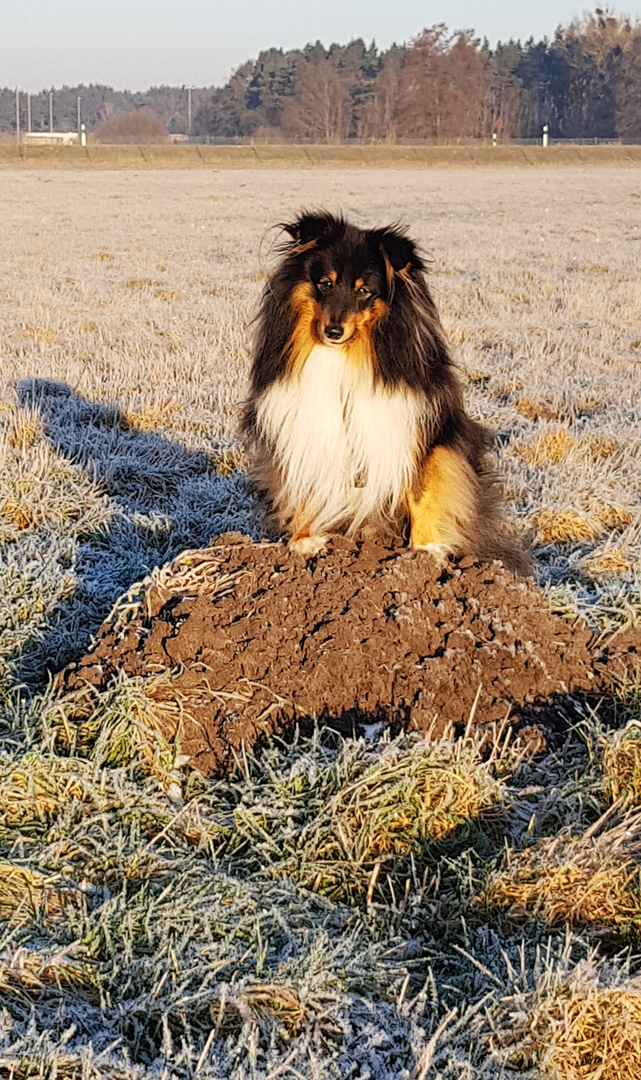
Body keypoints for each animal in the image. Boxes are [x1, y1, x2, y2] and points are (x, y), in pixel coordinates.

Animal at [240, 209, 528, 574]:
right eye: (325, 283)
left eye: (364, 291)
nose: (333, 331)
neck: (345, 356)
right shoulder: (300, 423)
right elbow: (303, 480)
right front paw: (304, 541)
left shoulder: (423, 428)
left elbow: (422, 490)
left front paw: (425, 551)